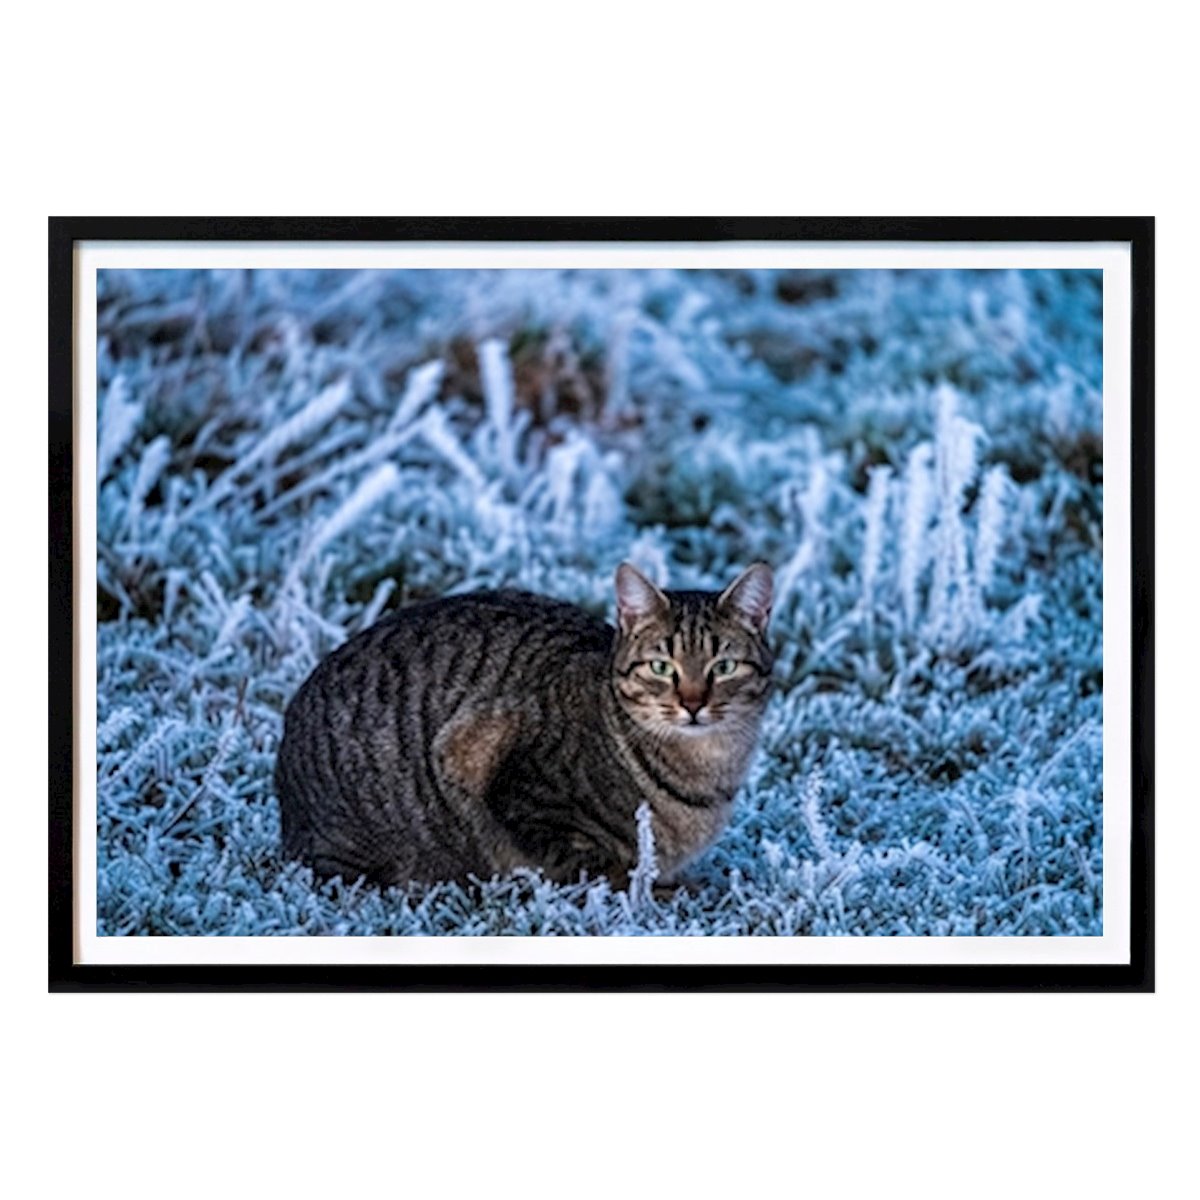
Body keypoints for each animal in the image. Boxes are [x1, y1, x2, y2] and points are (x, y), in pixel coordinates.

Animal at [274, 564, 772, 892]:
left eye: (724, 666)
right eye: (661, 666)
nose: (693, 704)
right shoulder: (486, 763)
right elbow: (596, 864)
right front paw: (656, 890)